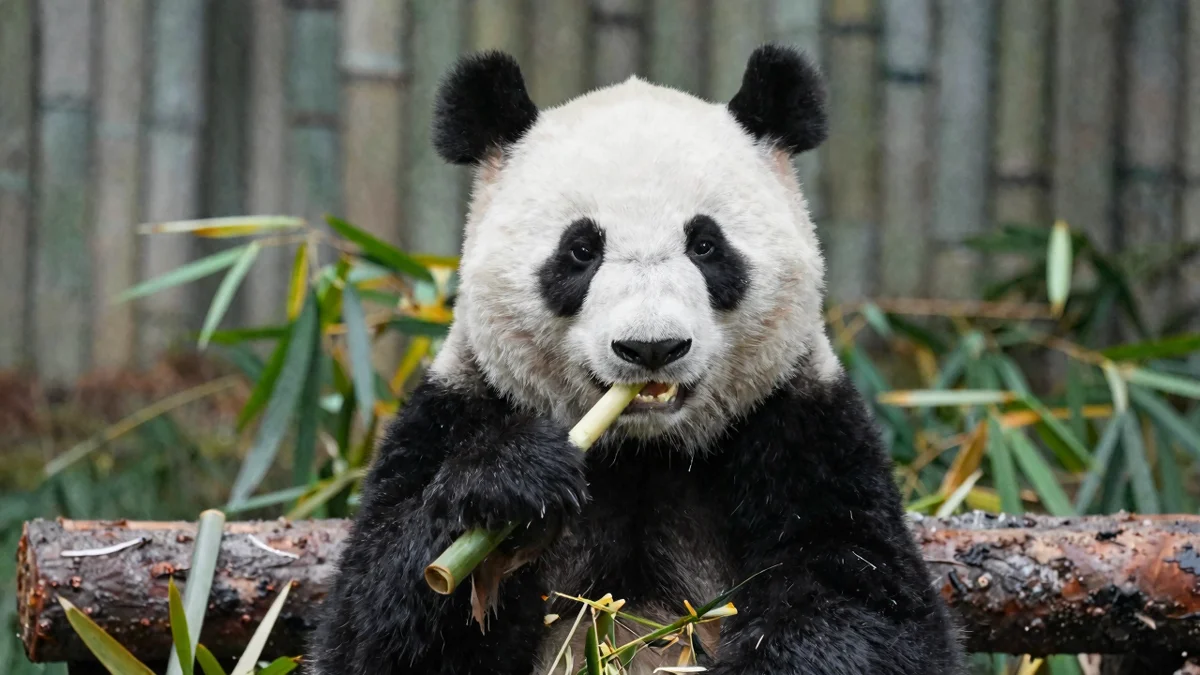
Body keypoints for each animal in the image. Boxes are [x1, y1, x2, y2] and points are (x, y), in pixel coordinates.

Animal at [310, 45, 964, 675]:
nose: (652, 346)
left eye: (706, 245)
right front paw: (510, 481)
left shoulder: (805, 430)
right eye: (580, 250)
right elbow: (372, 624)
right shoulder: (458, 408)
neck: (642, 452)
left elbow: (868, 605)